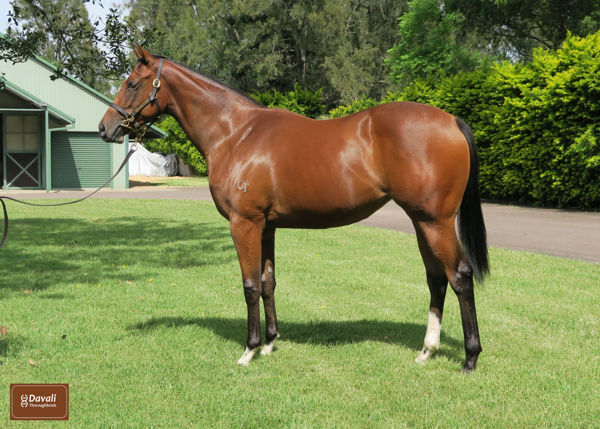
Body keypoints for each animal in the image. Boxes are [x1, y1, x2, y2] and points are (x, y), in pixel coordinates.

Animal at [101, 46, 490, 372]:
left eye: (132, 83)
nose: (106, 128)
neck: (236, 133)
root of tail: (451, 121)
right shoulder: (267, 226)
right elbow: (267, 281)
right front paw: (270, 343)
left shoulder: (245, 224)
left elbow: (249, 285)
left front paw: (249, 350)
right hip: (421, 221)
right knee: (436, 278)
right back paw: (427, 351)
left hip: (436, 222)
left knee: (460, 276)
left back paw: (470, 358)